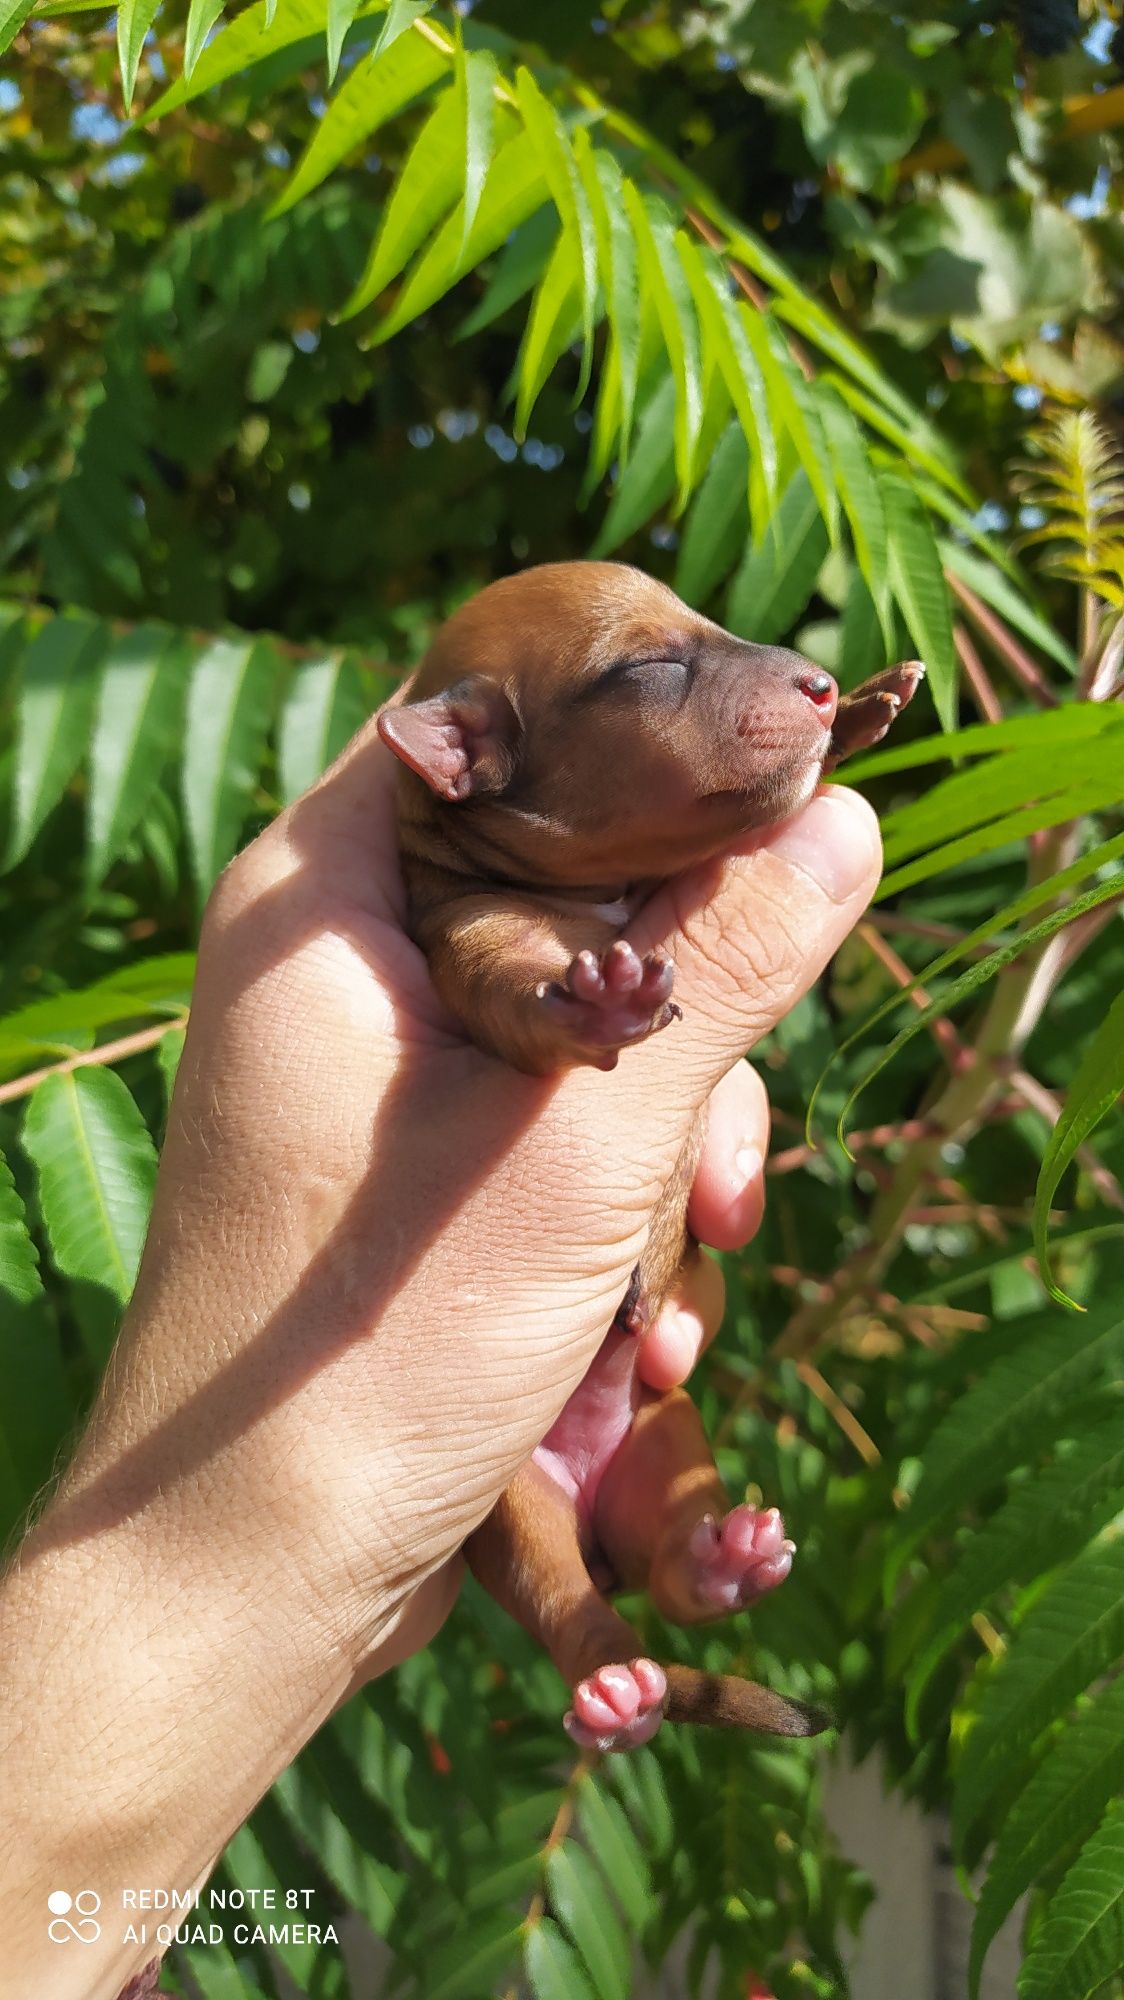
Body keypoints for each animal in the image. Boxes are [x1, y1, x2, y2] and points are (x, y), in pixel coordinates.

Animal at [378, 564, 920, 1752]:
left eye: (707, 623)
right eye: (645, 668)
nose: (818, 685)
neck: (604, 891)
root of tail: (599, 1530)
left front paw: (870, 705)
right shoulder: (468, 934)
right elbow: (512, 990)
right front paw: (593, 1000)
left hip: (670, 1439)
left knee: (677, 1570)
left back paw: (726, 1563)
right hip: (508, 1506)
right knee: (570, 1608)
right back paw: (619, 1687)